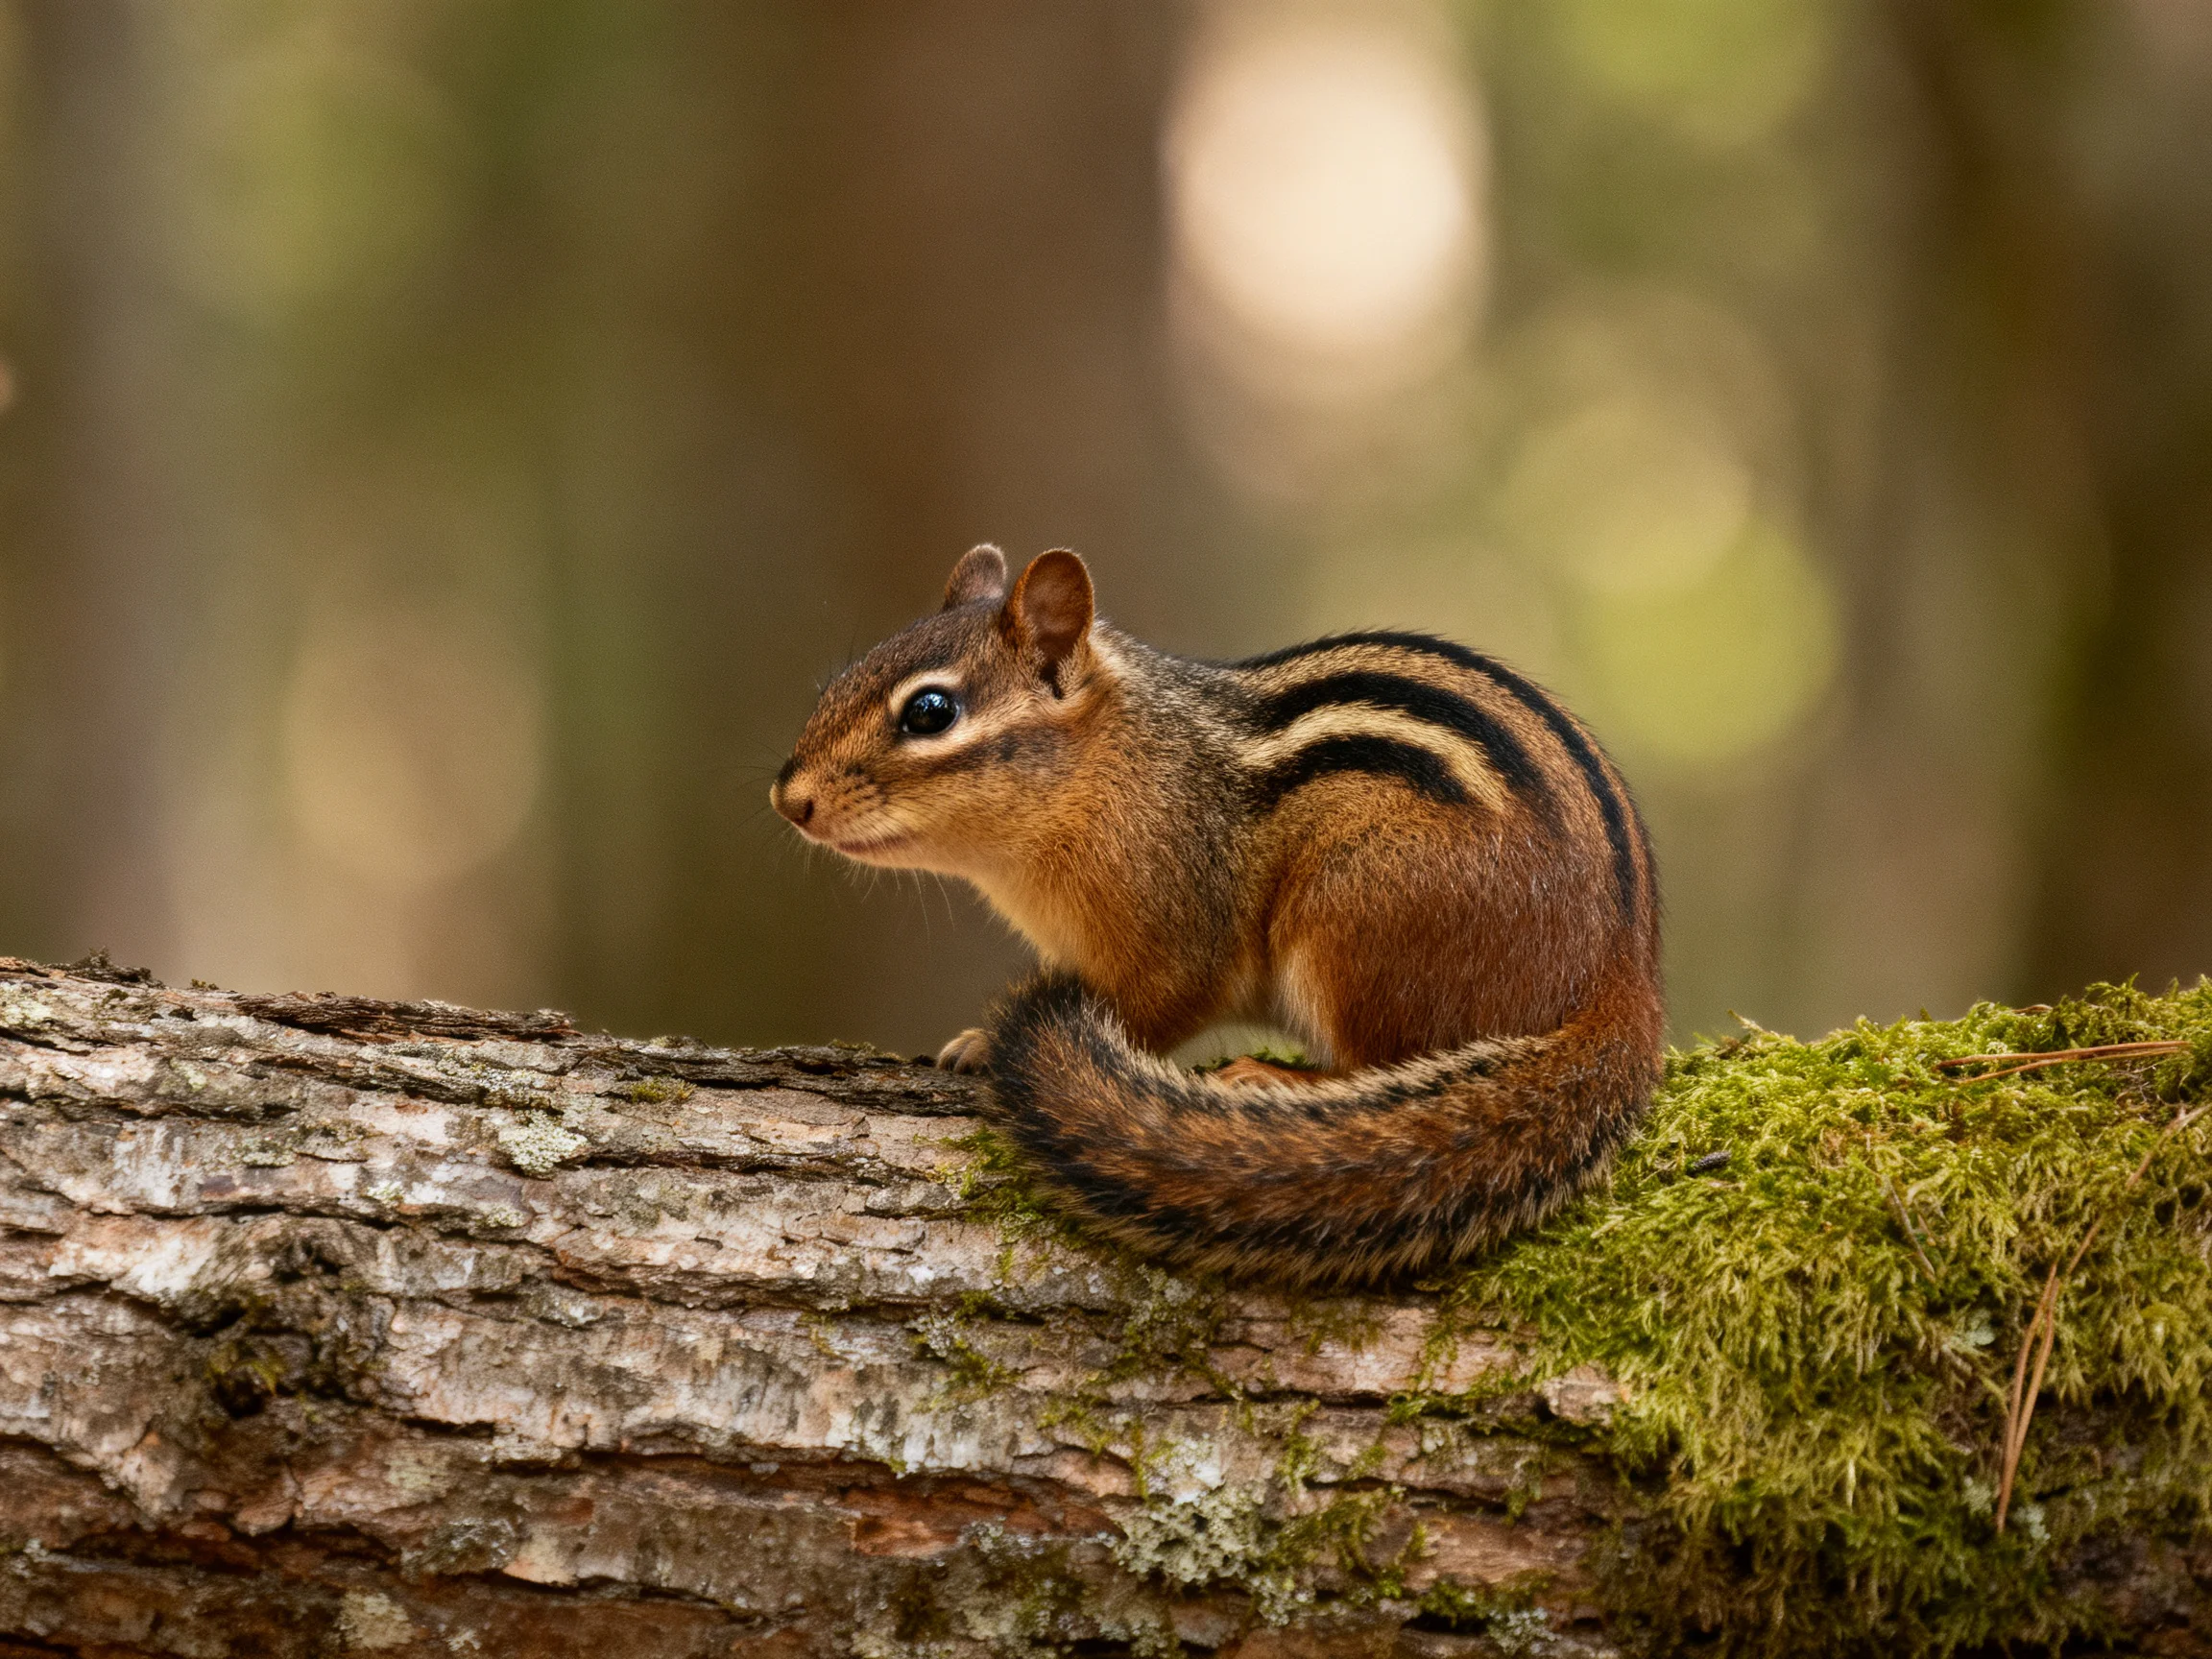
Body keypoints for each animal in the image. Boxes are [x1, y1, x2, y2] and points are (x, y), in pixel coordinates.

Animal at [772, 545, 1664, 1287]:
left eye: (929, 712)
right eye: (835, 685)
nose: (788, 799)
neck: (1116, 765)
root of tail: (1623, 979)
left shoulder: (1179, 936)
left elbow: (1165, 1001)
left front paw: (986, 1043)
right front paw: (963, 1042)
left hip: (1355, 908)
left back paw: (1280, 1076)